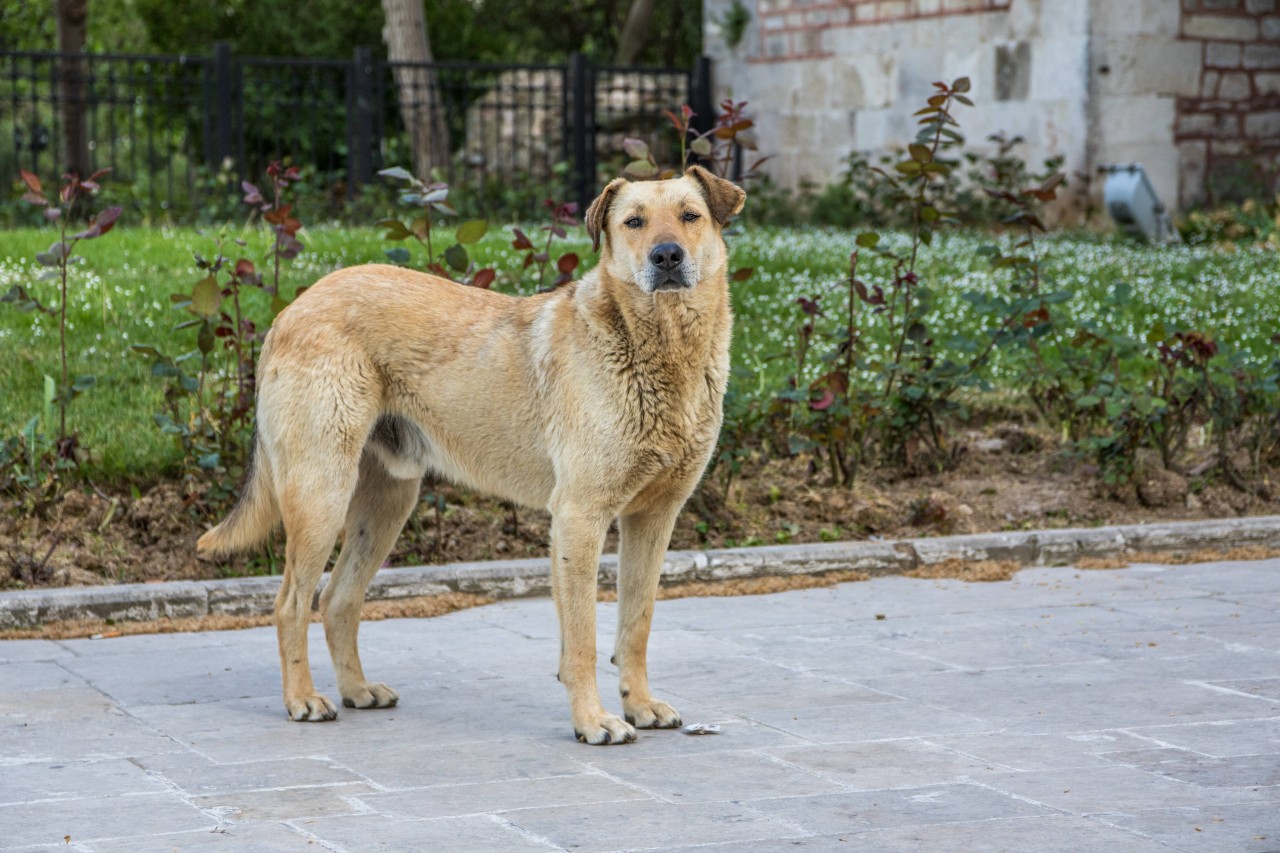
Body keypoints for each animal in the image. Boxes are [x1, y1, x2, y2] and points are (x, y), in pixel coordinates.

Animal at [194, 162, 747, 742]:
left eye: (690, 216)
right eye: (634, 222)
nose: (667, 257)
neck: (661, 346)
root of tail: (291, 308)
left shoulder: (654, 518)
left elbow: (635, 626)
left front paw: (639, 705)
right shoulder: (578, 517)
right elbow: (583, 641)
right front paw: (593, 721)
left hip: (386, 503)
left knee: (338, 598)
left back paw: (357, 690)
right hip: (321, 493)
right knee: (290, 604)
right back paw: (302, 699)